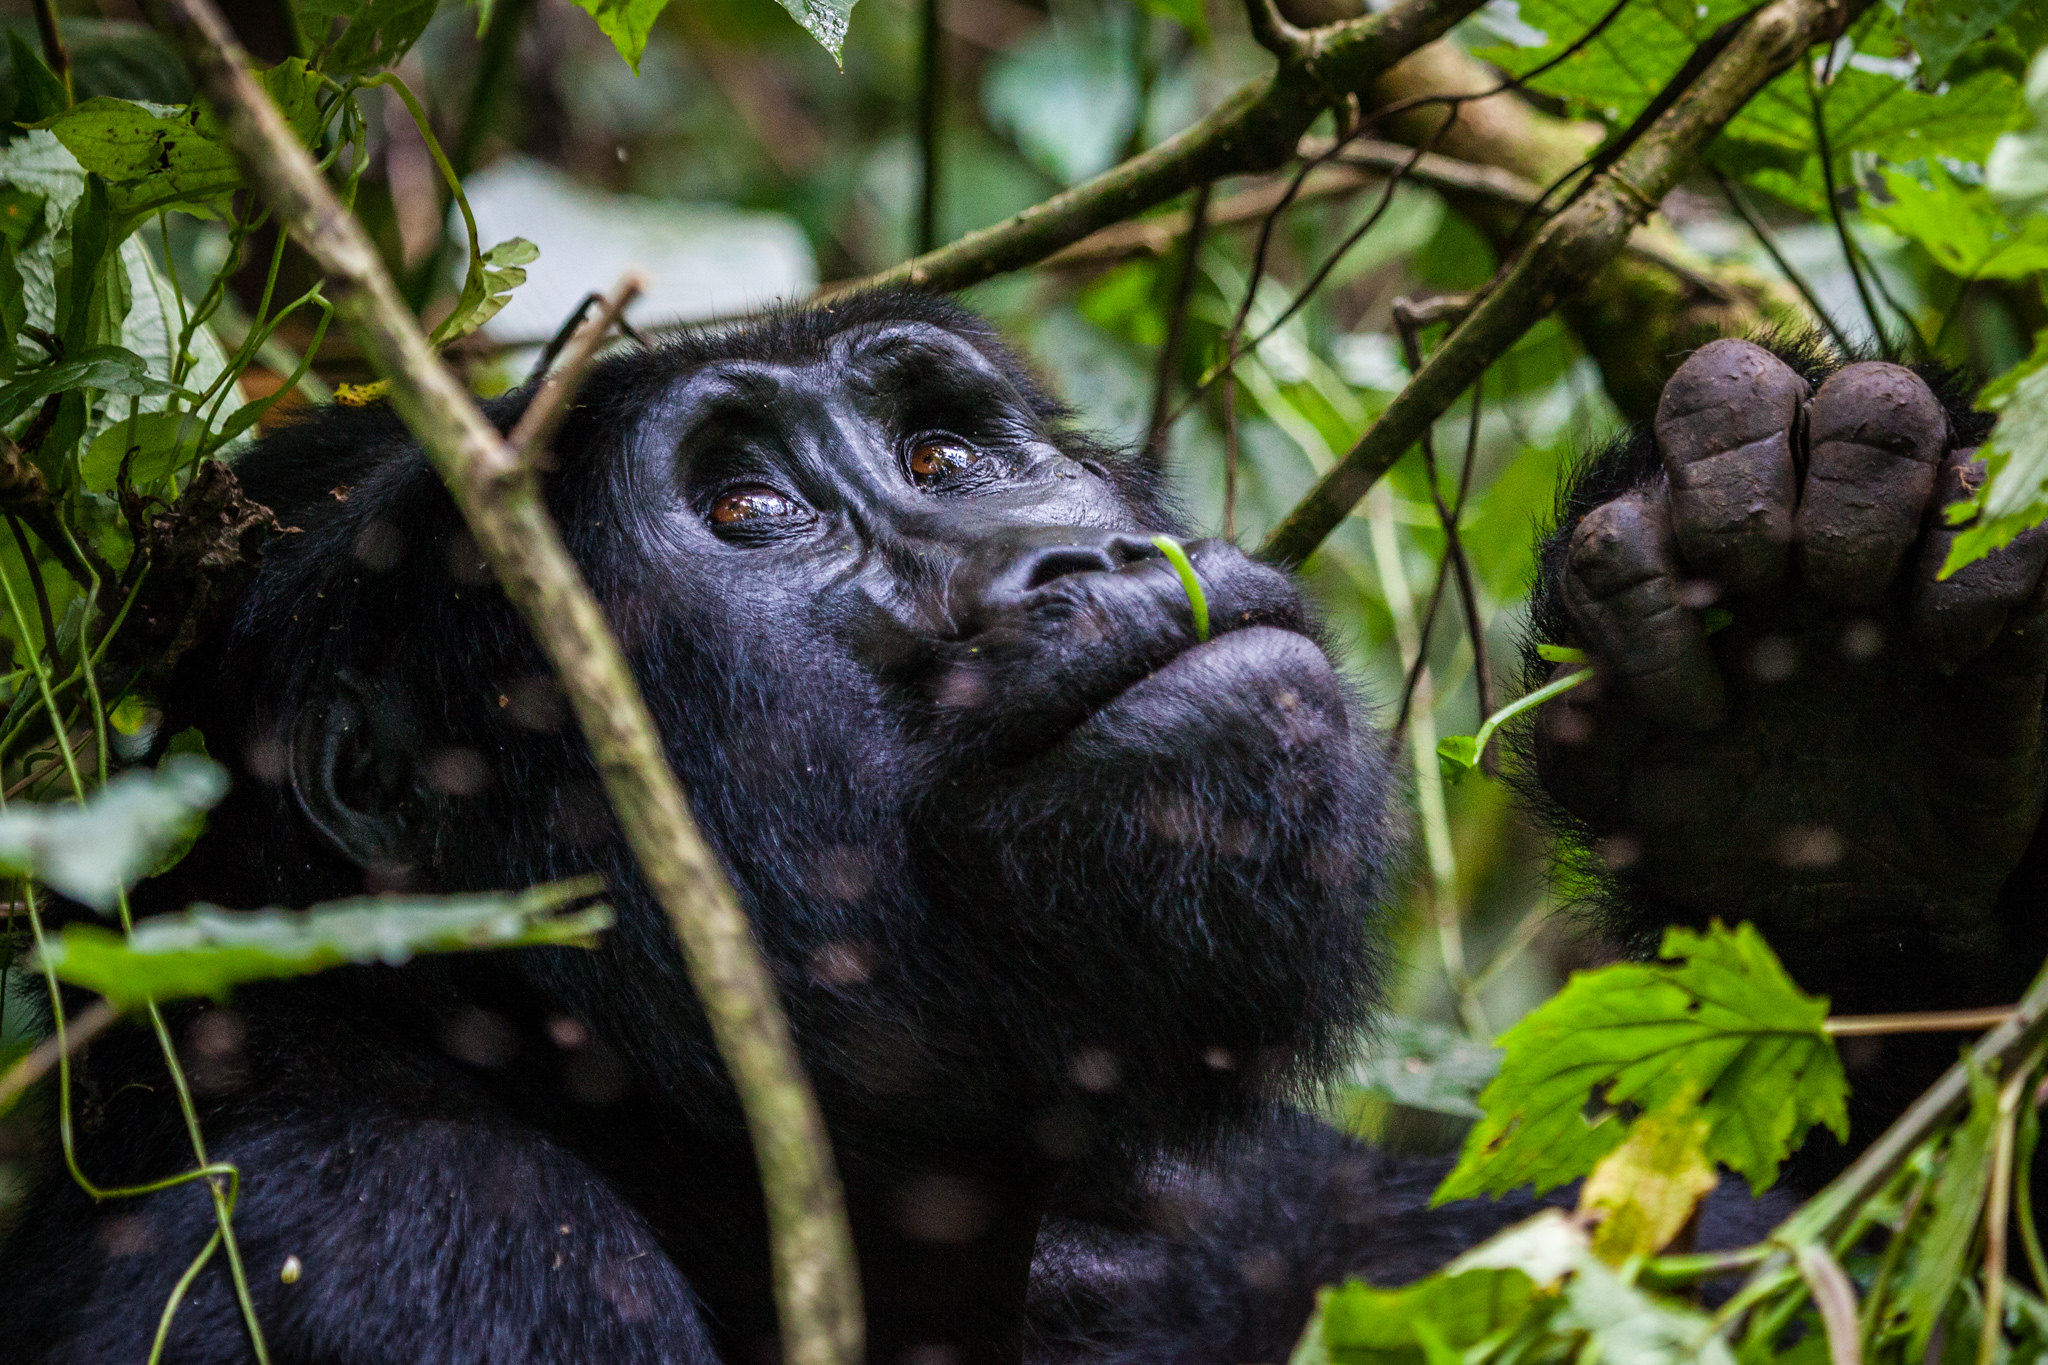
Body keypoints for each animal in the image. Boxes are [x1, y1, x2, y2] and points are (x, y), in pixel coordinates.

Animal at [0, 298, 2039, 1365]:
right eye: (746, 506)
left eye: (942, 450)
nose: (1070, 547)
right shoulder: (391, 1248)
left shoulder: (1259, 1219)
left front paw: (1825, 734)